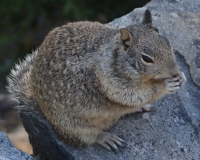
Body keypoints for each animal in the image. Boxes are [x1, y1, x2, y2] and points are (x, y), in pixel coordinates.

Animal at [7, 9, 186, 150]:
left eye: (167, 42)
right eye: (147, 58)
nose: (174, 71)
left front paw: (181, 76)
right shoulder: (112, 84)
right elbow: (135, 95)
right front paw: (166, 85)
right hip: (75, 128)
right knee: (90, 137)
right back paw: (107, 138)